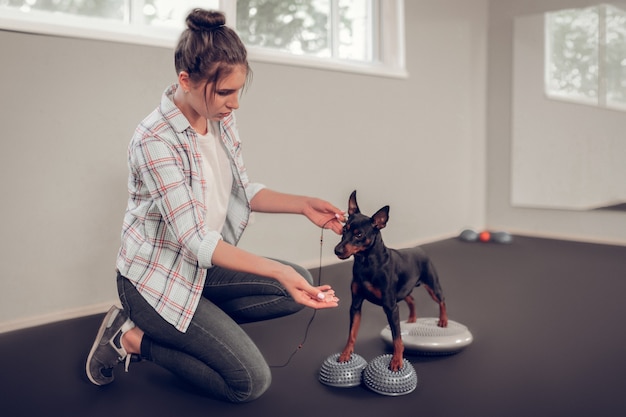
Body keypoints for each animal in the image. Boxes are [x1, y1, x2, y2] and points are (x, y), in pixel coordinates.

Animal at [334, 190, 446, 368]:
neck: (366, 263)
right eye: (344, 229)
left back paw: (443, 321)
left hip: (432, 286)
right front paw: (345, 354)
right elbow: (351, 333)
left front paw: (397, 361)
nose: (337, 250)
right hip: (403, 290)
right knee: (412, 299)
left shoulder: (390, 307)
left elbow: (397, 337)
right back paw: (412, 319)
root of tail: (420, 249)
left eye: (359, 234)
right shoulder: (356, 305)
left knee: (442, 300)